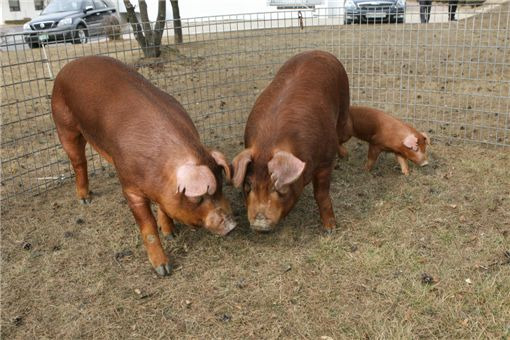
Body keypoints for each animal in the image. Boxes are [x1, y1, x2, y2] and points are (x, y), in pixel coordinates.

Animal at [51, 55, 235, 276]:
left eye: (221, 186)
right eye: (198, 198)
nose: (232, 225)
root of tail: (69, 65)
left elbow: (164, 208)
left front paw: (171, 234)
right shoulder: (129, 187)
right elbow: (147, 227)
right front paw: (164, 270)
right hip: (64, 125)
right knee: (79, 161)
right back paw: (85, 200)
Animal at [232, 50, 348, 232]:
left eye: (276, 187)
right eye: (248, 184)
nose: (259, 224)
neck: (269, 144)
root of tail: (318, 51)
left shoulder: (325, 161)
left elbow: (321, 194)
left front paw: (330, 228)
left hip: (344, 107)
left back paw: (345, 154)